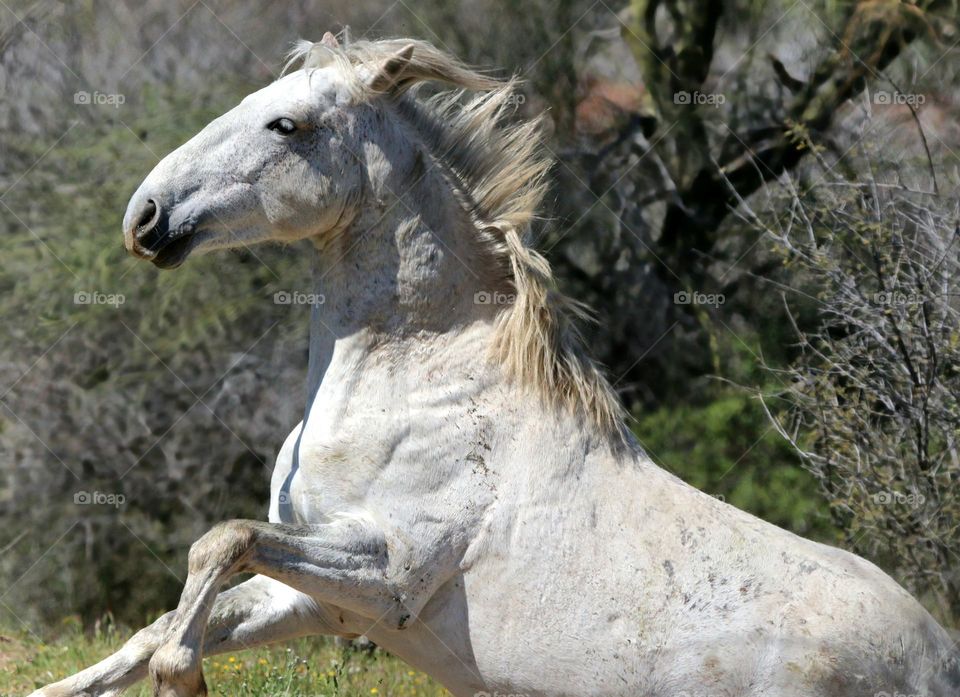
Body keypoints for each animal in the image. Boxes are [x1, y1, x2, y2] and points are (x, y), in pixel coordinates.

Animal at [31, 33, 959, 697]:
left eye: (286, 124)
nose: (146, 215)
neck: (417, 386)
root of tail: (939, 660)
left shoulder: (389, 575)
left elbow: (220, 544)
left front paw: (182, 681)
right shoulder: (313, 597)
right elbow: (165, 618)